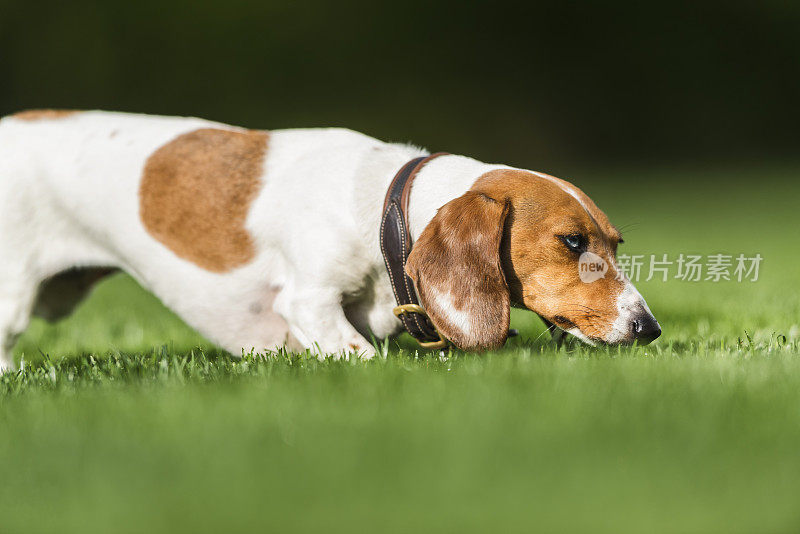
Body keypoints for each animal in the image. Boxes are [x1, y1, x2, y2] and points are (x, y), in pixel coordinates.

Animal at [0, 111, 664, 370]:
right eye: (573, 243)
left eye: (615, 241)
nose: (649, 328)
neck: (382, 208)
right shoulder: (309, 300)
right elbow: (361, 355)